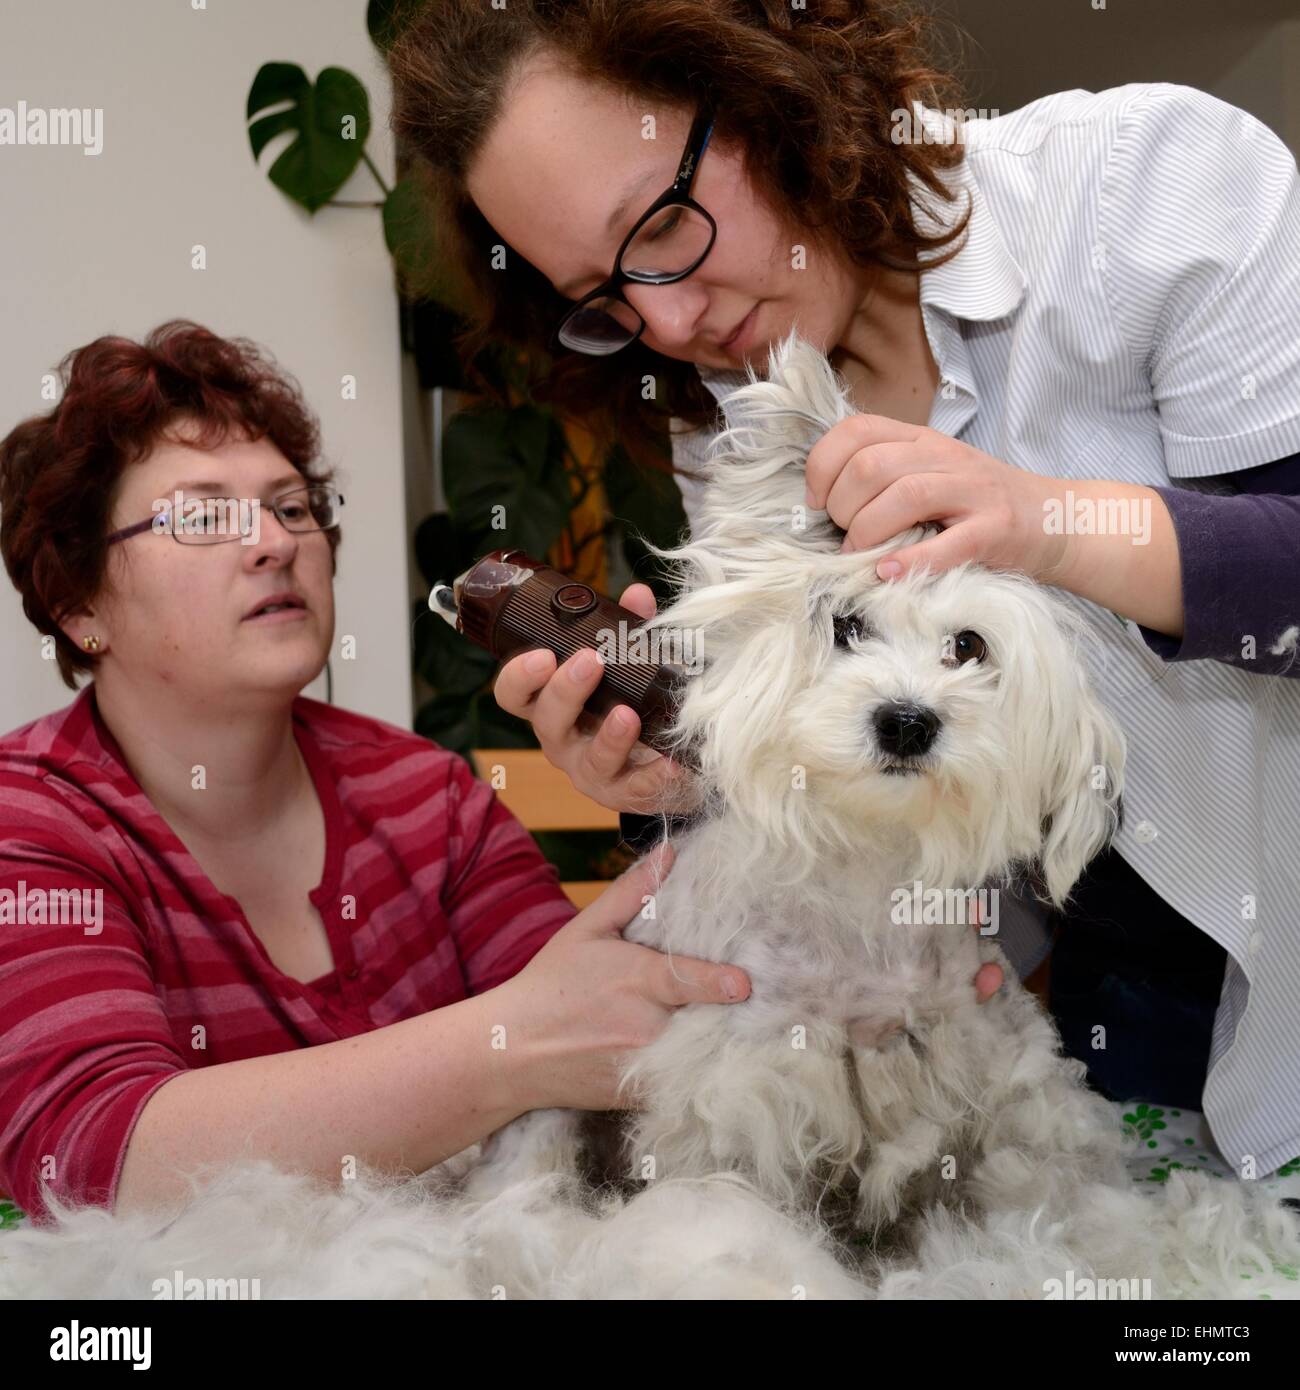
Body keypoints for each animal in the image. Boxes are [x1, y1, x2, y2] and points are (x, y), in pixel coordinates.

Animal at [5, 330, 1295, 1295]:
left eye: (968, 647)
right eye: (842, 625)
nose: (905, 723)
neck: (854, 897)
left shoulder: (988, 1115)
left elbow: (1048, 1206)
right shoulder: (735, 1117)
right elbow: (730, 1218)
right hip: (530, 1115)